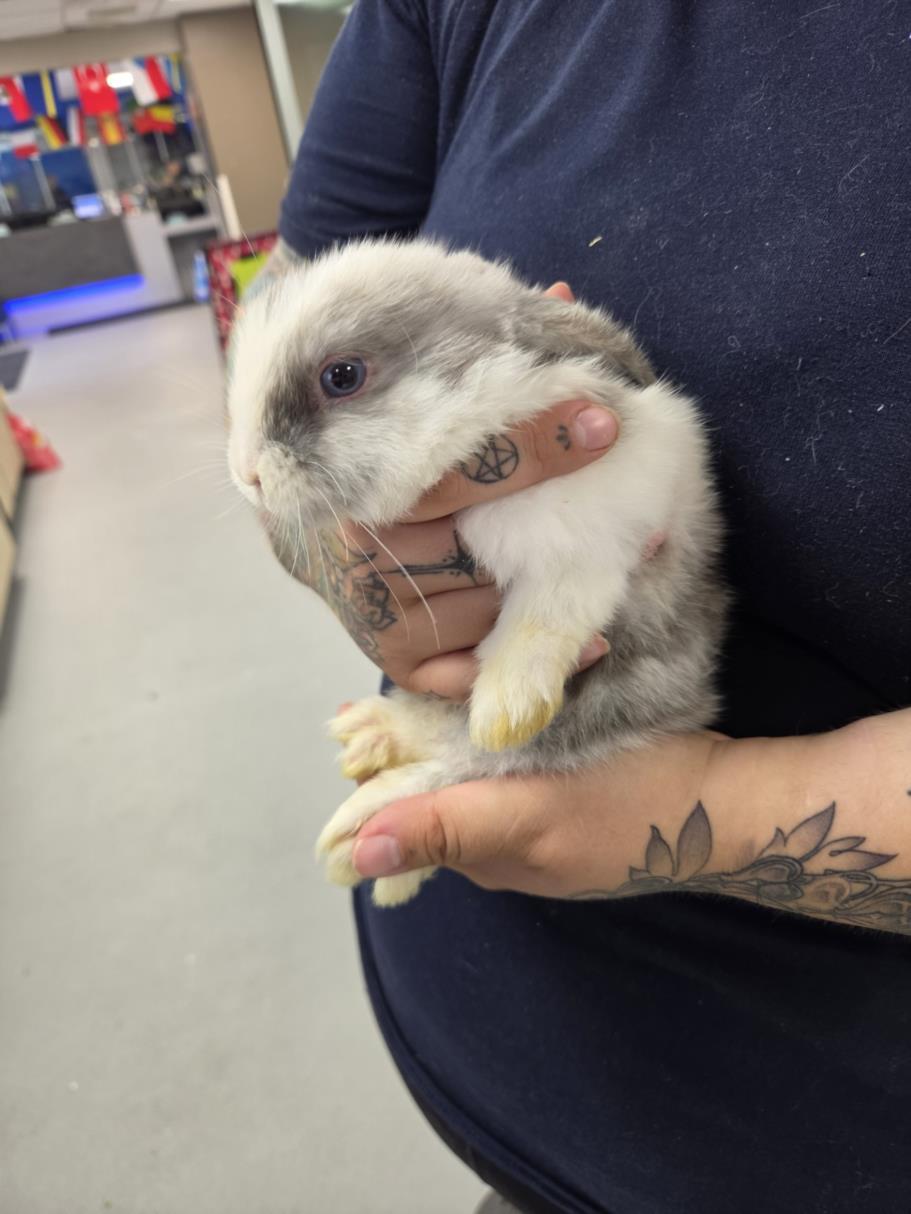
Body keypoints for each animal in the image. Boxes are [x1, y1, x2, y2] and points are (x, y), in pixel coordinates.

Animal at [226, 238, 729, 907]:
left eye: (343, 376)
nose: (247, 473)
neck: (471, 423)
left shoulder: (597, 538)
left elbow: (543, 620)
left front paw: (504, 708)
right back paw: (373, 734)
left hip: (621, 686)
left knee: (498, 755)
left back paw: (362, 826)